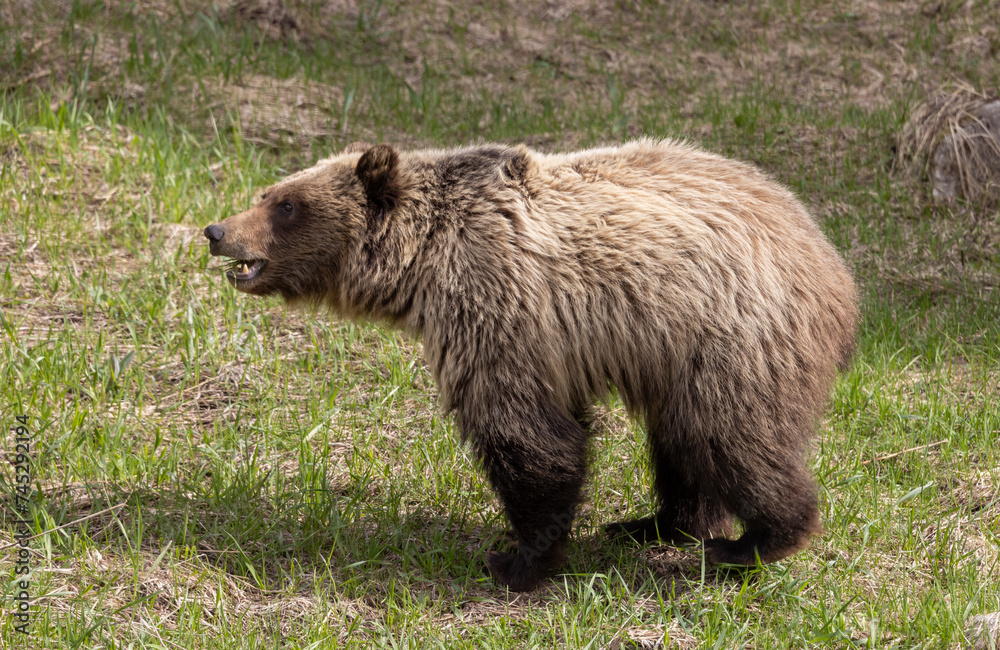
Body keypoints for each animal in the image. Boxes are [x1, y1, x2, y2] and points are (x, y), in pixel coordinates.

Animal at [205, 139, 860, 588]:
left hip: (732, 337)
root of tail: (832, 263)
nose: (216, 230)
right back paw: (654, 523)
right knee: (681, 441)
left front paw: (518, 559)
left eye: (287, 205)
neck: (423, 264)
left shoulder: (497, 307)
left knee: (731, 437)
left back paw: (756, 541)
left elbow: (527, 434)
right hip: (675, 355)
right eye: (267, 194)